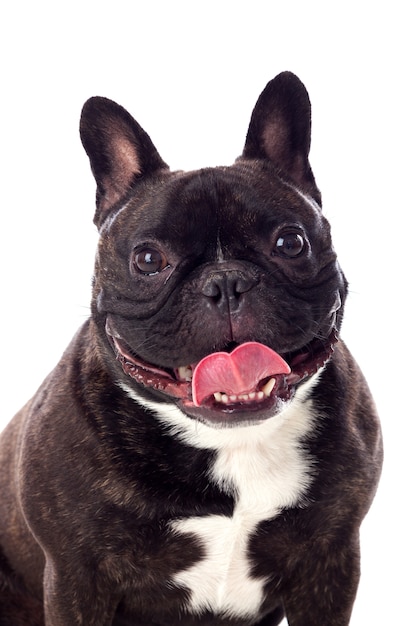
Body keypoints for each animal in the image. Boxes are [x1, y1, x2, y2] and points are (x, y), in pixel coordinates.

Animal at [0, 73, 382, 624]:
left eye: (291, 243)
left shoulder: (330, 562)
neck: (233, 444)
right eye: (148, 259)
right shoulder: (77, 577)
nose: (225, 282)